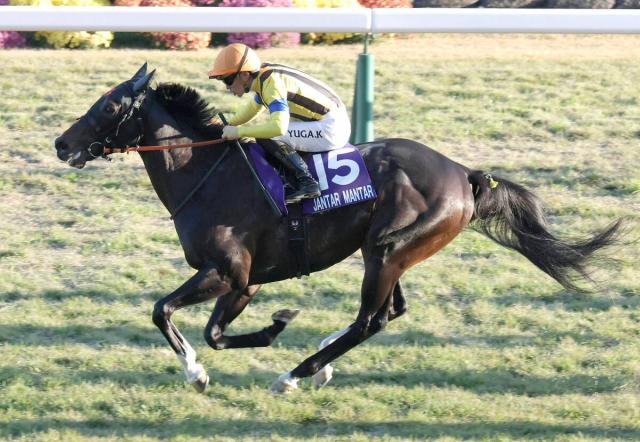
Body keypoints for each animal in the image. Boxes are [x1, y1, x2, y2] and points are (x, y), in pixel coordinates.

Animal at [54, 64, 622, 393]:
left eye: (109, 105)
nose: (61, 144)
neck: (206, 172)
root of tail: (464, 173)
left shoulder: (232, 273)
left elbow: (178, 318)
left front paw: (210, 365)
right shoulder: (246, 280)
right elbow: (202, 328)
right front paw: (253, 339)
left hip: (389, 250)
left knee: (371, 319)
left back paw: (296, 373)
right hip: (392, 251)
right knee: (388, 312)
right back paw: (321, 360)